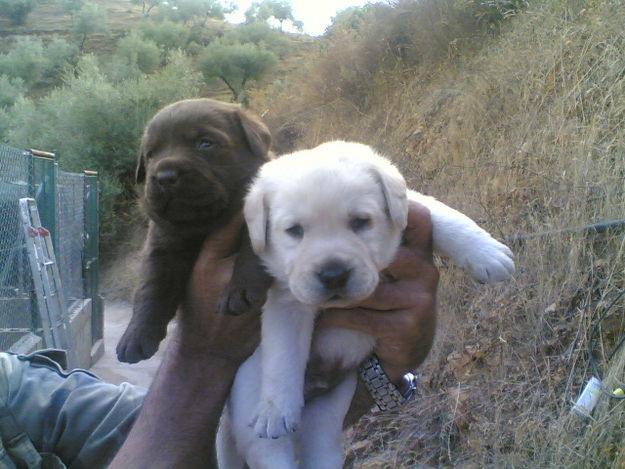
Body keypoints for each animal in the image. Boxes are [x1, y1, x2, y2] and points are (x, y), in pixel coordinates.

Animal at [117, 98, 272, 362]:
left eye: (205, 143)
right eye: (151, 154)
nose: (165, 176)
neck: (205, 223)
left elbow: (252, 251)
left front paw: (238, 291)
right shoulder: (162, 246)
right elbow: (151, 288)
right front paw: (135, 336)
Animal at [216, 141, 512, 466]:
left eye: (360, 222)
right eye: (294, 230)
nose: (333, 275)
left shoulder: (411, 208)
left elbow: (444, 217)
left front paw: (486, 254)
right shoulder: (287, 299)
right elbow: (283, 353)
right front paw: (276, 409)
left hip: (325, 421)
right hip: (255, 428)